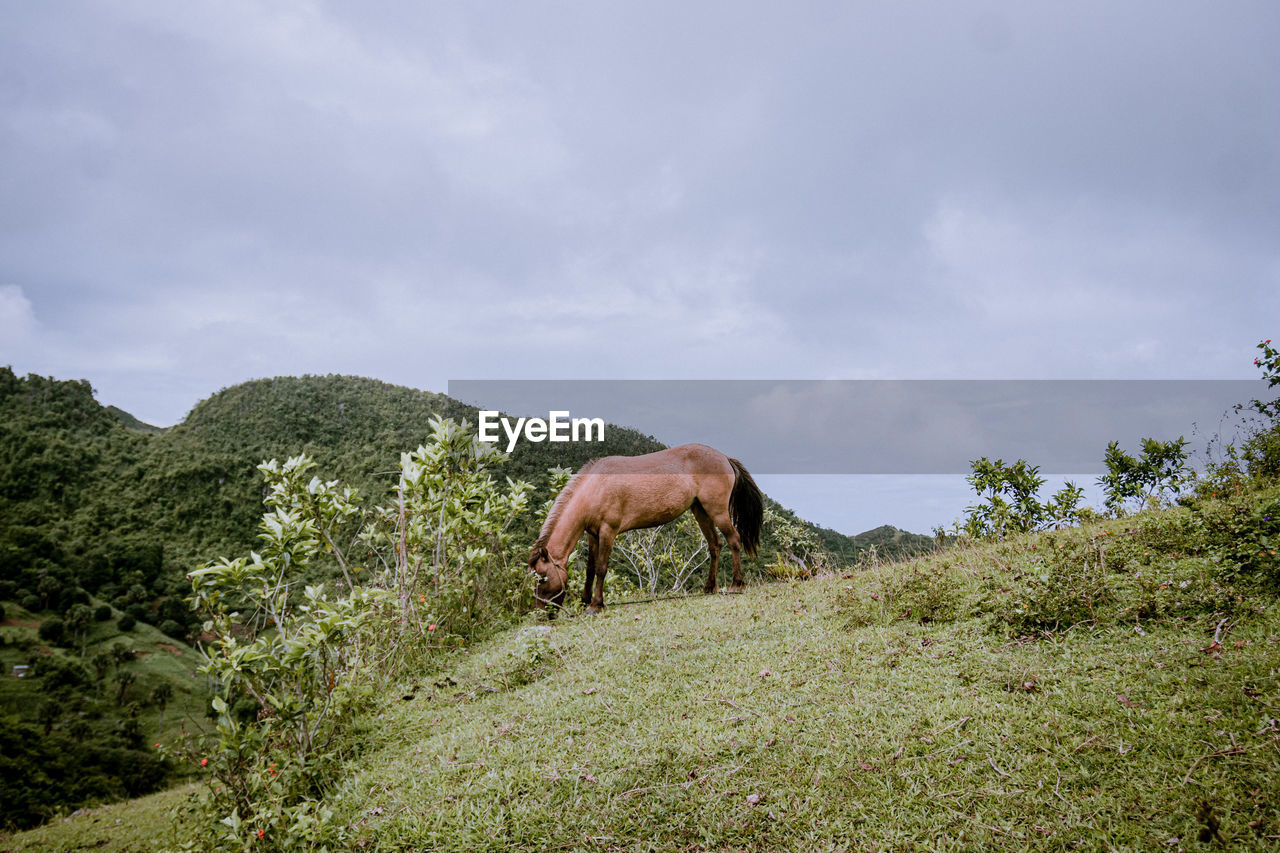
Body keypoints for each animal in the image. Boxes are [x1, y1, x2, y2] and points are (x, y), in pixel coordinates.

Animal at [527, 440, 757, 607]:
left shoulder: (608, 531)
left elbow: (601, 568)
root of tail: (724, 457)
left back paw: (736, 585)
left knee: (733, 540)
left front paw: (595, 604)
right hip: (701, 511)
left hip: (717, 511)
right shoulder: (593, 534)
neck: (595, 487)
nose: (541, 613)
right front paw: (585, 602)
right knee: (714, 545)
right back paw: (709, 587)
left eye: (542, 578)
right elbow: (590, 569)